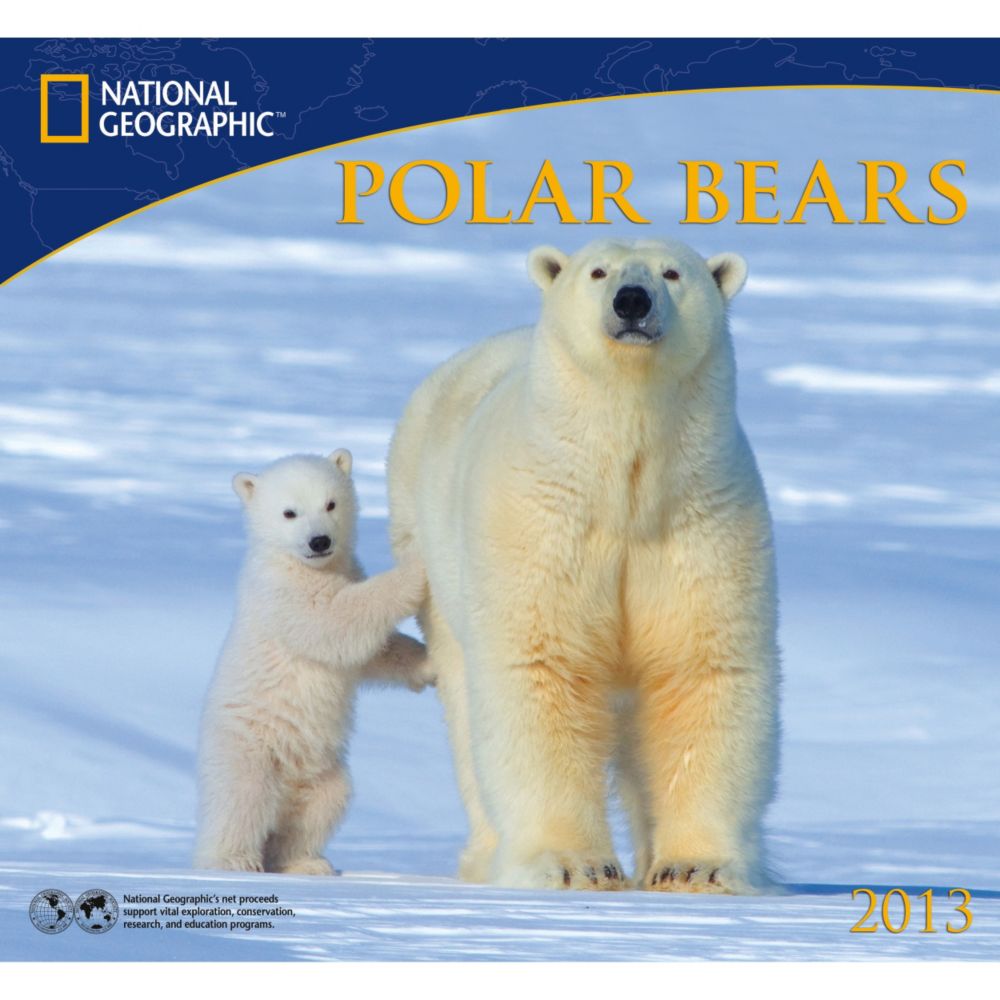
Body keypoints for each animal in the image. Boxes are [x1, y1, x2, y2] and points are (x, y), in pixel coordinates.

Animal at [194, 450, 432, 875]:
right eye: (290, 512)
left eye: (330, 503)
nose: (319, 541)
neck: (303, 564)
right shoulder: (282, 594)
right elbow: (335, 620)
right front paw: (415, 570)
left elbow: (371, 652)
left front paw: (427, 664)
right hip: (248, 746)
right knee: (242, 799)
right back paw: (233, 861)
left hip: (321, 770)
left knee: (323, 803)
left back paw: (305, 862)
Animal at [387, 239, 779, 893]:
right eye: (598, 271)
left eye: (673, 272)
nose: (632, 300)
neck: (623, 489)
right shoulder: (541, 524)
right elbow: (540, 667)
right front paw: (576, 865)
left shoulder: (701, 524)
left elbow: (699, 670)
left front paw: (694, 867)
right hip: (429, 555)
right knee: (466, 709)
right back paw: (486, 856)